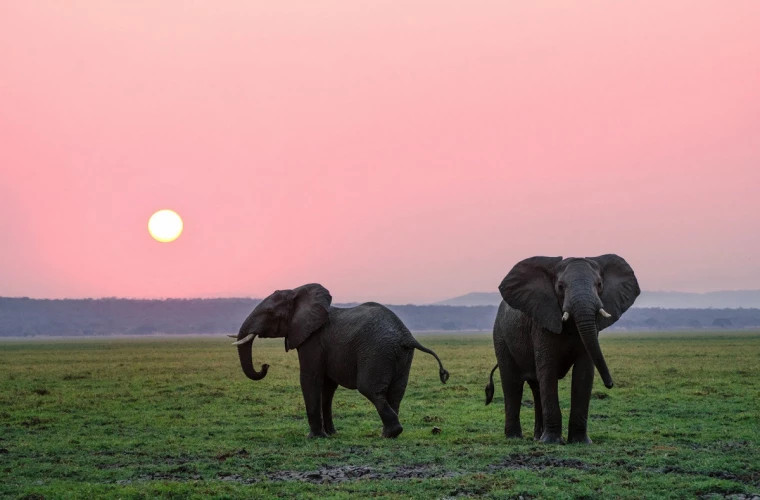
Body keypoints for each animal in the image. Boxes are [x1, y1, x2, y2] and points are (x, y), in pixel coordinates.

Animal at [232, 283, 450, 438]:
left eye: (269, 314)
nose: (265, 365)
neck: (297, 292)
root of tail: (406, 335)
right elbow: (327, 387)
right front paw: (331, 434)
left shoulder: (313, 340)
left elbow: (310, 378)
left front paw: (314, 437)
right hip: (401, 355)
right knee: (396, 392)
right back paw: (389, 434)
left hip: (377, 351)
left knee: (370, 389)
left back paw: (389, 433)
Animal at [485, 255, 639, 444]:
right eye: (560, 287)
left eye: (599, 284)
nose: (610, 384)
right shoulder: (542, 322)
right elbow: (548, 370)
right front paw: (551, 442)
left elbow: (584, 373)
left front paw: (580, 442)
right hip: (501, 336)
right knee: (513, 383)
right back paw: (515, 438)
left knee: (536, 387)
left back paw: (537, 437)